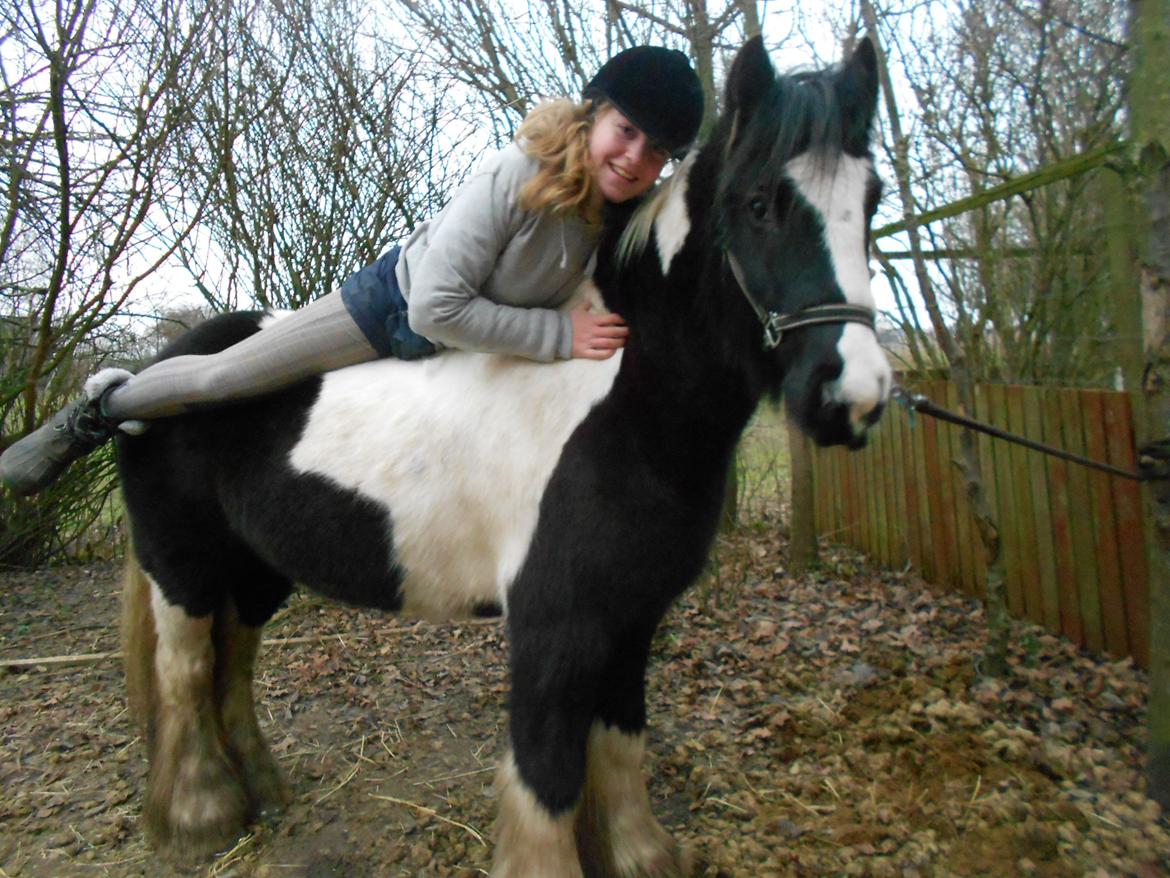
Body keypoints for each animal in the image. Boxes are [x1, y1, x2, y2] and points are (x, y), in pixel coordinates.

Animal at [116, 39, 884, 878]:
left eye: (873, 201)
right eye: (759, 203)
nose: (854, 394)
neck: (625, 398)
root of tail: (143, 380)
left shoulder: (633, 613)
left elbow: (620, 741)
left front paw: (638, 853)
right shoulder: (554, 621)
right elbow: (546, 772)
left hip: (257, 571)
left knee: (234, 662)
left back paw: (263, 793)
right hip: (182, 567)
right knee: (186, 671)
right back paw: (201, 818)